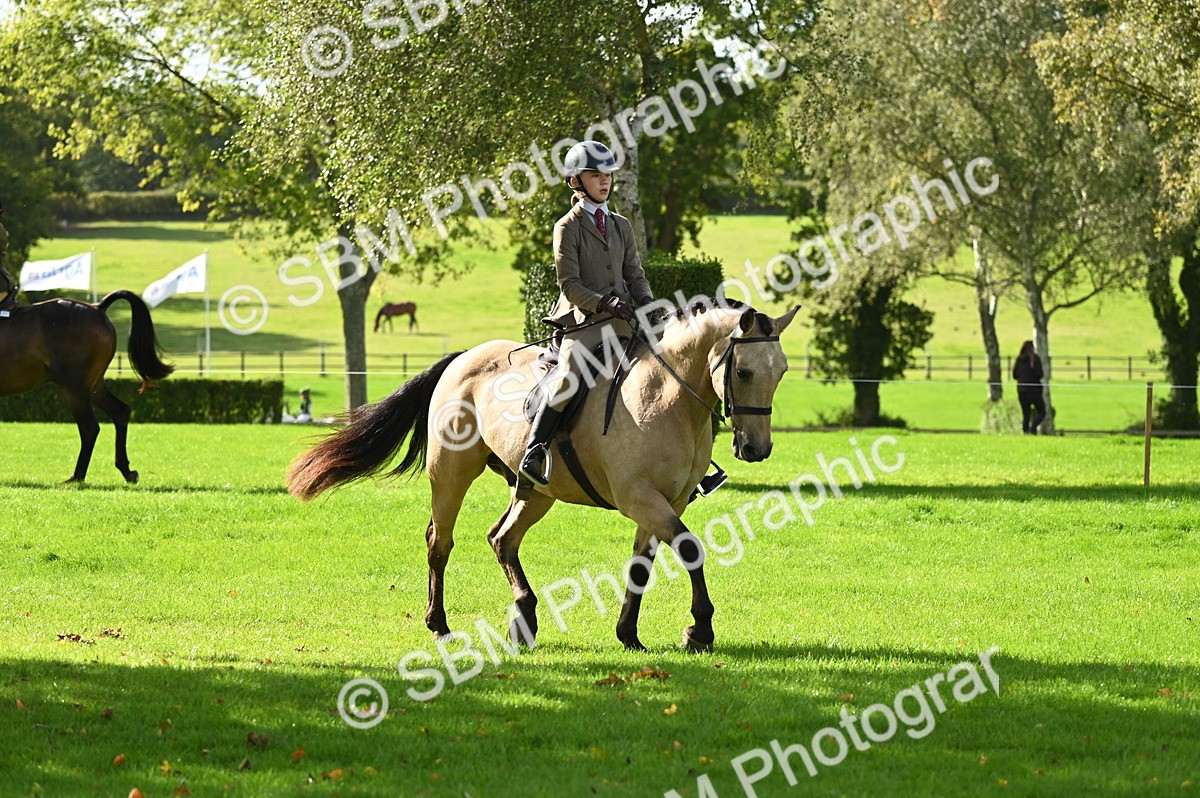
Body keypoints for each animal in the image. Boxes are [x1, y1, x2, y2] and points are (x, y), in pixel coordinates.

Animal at [0, 291, 174, 483]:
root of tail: (97, 307)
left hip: (75, 388)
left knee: (89, 427)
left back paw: (77, 477)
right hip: (94, 386)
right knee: (120, 412)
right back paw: (126, 470)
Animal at [288, 300, 799, 652]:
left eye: (781, 372)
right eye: (745, 371)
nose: (757, 449)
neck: (666, 398)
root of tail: (463, 358)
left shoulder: (663, 504)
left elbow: (641, 566)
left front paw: (629, 634)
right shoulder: (640, 498)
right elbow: (691, 550)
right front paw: (700, 629)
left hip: (536, 490)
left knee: (502, 538)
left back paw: (524, 620)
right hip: (451, 473)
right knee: (440, 542)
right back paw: (440, 625)